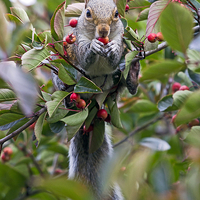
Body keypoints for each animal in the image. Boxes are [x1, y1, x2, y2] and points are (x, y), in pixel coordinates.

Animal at [50, 0, 140, 199]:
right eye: (88, 13)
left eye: (116, 14)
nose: (104, 31)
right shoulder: (77, 44)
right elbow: (84, 57)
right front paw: (93, 47)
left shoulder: (121, 41)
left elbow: (115, 57)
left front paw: (112, 49)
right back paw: (66, 94)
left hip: (117, 82)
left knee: (129, 85)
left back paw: (133, 74)